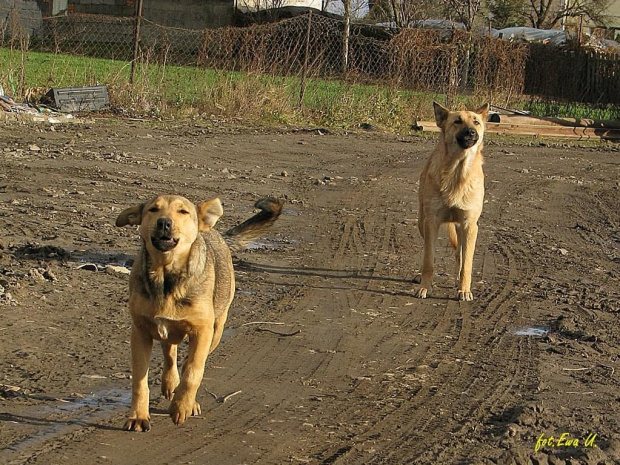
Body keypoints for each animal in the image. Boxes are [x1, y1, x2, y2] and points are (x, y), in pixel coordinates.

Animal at [115, 194, 282, 430]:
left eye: (183, 212)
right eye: (153, 209)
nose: (164, 223)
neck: (166, 277)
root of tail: (213, 231)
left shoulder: (203, 331)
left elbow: (194, 370)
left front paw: (182, 406)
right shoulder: (140, 332)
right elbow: (140, 380)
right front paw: (138, 416)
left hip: (217, 329)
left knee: (190, 361)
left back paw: (185, 398)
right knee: (170, 352)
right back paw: (170, 382)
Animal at [416, 101, 490, 300]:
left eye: (476, 122)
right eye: (457, 121)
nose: (471, 132)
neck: (457, 171)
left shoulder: (470, 225)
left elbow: (467, 264)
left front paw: (464, 290)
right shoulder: (431, 222)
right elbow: (428, 260)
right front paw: (424, 287)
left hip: (463, 230)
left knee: (460, 255)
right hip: (422, 222)